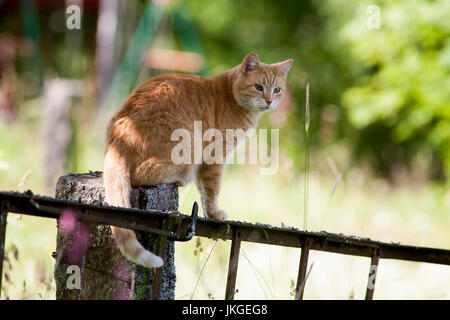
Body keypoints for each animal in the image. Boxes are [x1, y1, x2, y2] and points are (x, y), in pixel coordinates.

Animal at [103, 53, 294, 268]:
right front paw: (214, 214)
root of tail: (117, 139)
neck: (231, 96)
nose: (269, 100)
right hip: (187, 145)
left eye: (277, 90)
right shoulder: (215, 156)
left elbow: (203, 190)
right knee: (139, 175)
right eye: (258, 87)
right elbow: (212, 190)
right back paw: (179, 178)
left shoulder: (206, 164)